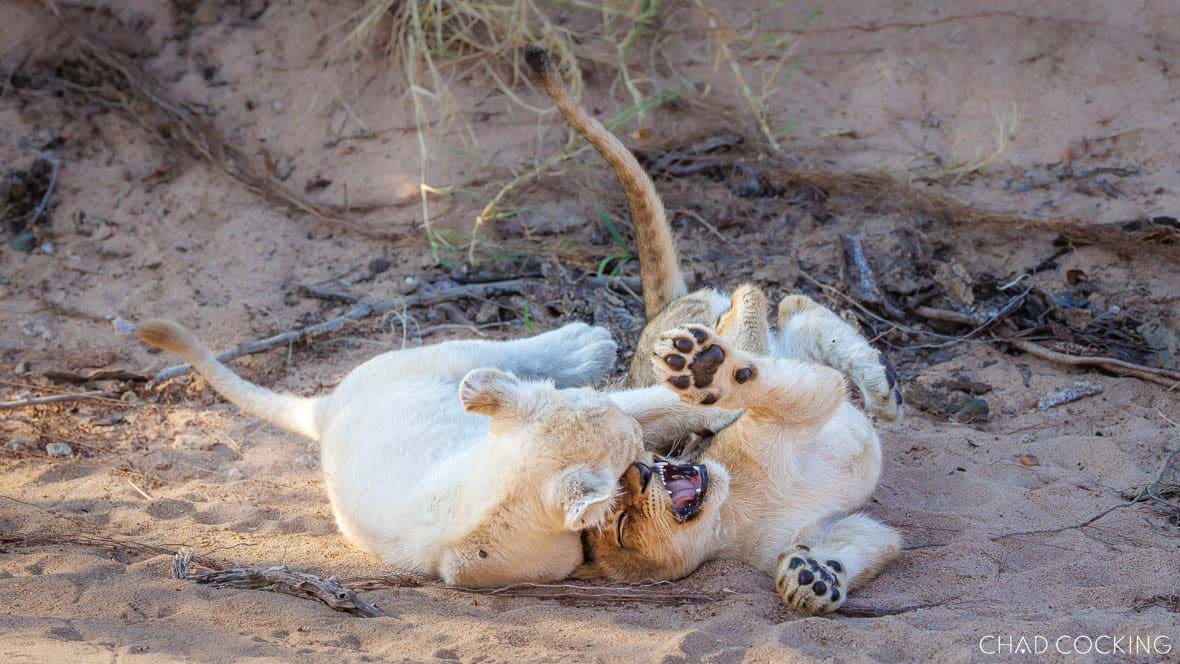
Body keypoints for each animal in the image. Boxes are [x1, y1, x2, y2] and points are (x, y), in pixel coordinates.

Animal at [525, 45, 902, 614]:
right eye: (621, 524)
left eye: (621, 497)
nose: (639, 471)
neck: (736, 509)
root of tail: (661, 312)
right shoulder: (828, 526)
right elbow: (866, 540)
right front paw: (811, 578)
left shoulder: (798, 405)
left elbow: (779, 386)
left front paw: (706, 372)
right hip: (777, 341)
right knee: (792, 314)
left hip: (727, 320)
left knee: (773, 301)